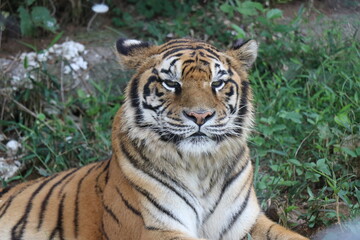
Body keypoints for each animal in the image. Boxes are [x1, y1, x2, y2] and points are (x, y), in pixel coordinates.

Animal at [0, 38, 310, 239]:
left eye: (218, 83)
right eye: (171, 83)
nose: (200, 116)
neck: (201, 167)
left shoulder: (246, 222)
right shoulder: (154, 228)